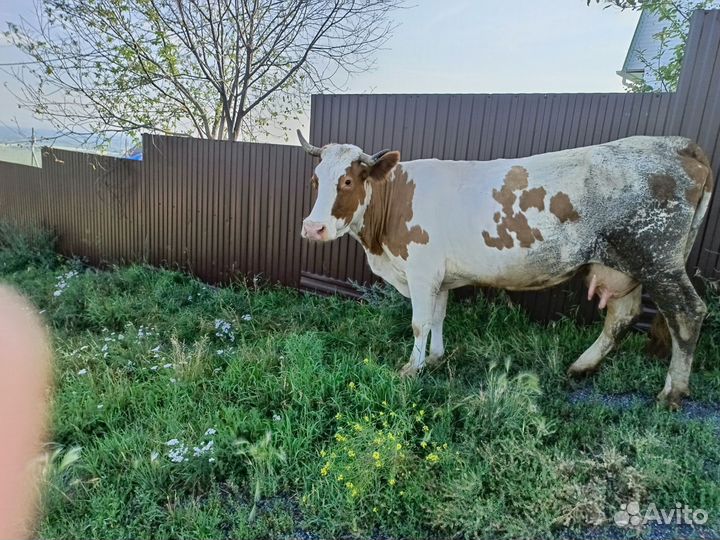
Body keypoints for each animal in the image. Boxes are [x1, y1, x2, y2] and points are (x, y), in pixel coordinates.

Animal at [297, 130, 713, 408]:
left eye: (347, 180)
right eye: (315, 180)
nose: (312, 228)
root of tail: (679, 144)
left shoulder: (421, 271)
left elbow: (419, 322)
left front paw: (411, 369)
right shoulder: (440, 278)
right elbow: (438, 318)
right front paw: (435, 358)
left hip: (658, 260)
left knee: (688, 313)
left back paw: (671, 392)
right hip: (623, 266)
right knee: (621, 316)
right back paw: (581, 366)